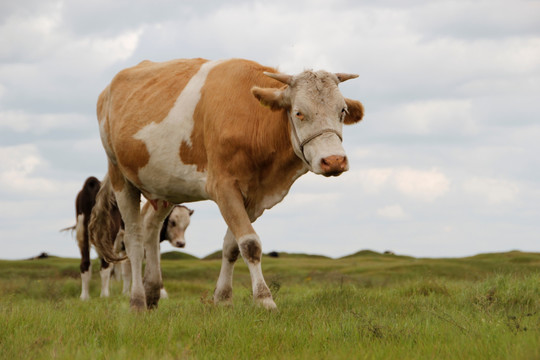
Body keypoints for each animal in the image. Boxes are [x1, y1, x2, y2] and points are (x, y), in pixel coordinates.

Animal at [90, 57, 364, 310]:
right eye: (299, 112)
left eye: (342, 111)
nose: (334, 160)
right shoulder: (223, 186)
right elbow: (250, 244)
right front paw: (264, 300)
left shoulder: (255, 196)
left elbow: (232, 246)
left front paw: (223, 299)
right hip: (120, 176)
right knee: (134, 241)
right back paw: (137, 301)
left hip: (164, 185)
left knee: (150, 228)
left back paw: (152, 292)